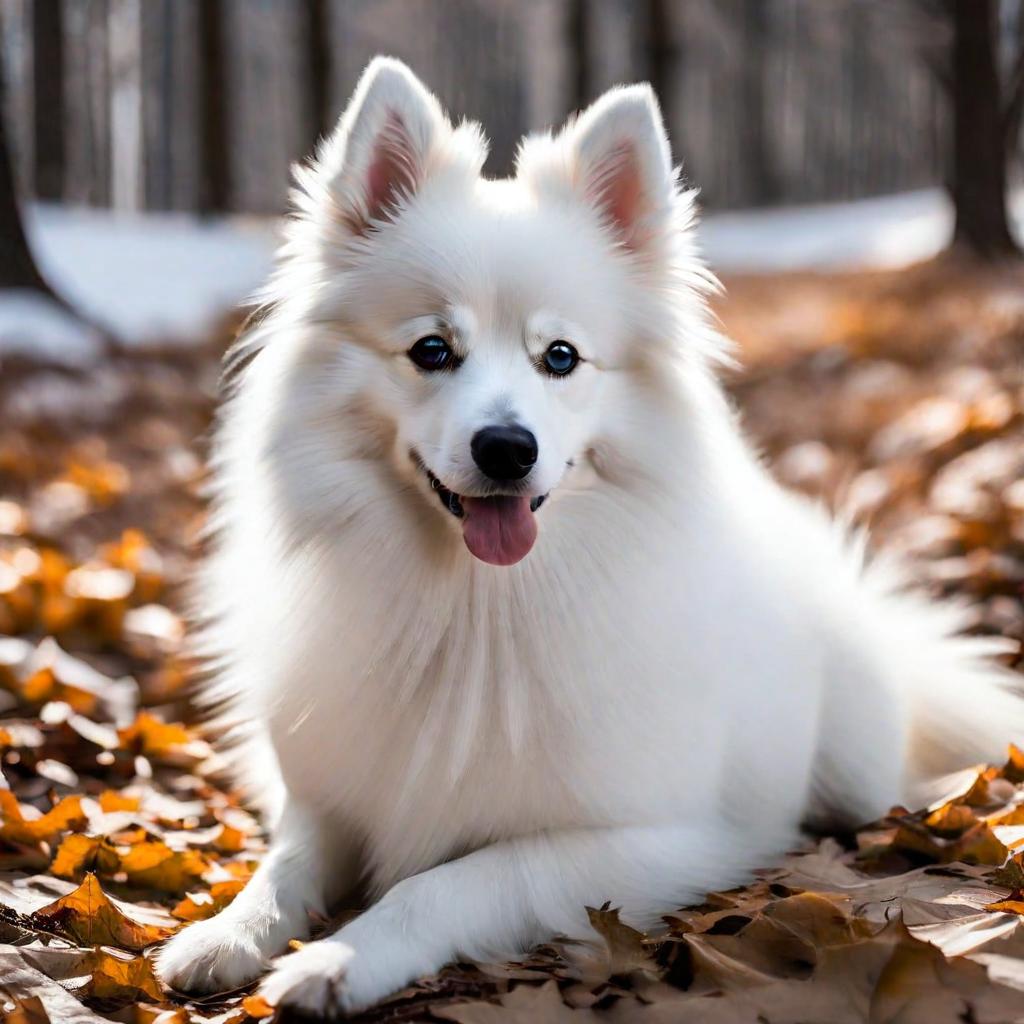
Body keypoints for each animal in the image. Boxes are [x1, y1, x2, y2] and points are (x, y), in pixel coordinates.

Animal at [153, 58, 1024, 1015]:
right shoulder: (330, 794)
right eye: (432, 350)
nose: (506, 447)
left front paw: (338, 960)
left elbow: (453, 882)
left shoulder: (651, 837)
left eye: (560, 357)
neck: (478, 609)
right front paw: (227, 933)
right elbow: (284, 862)